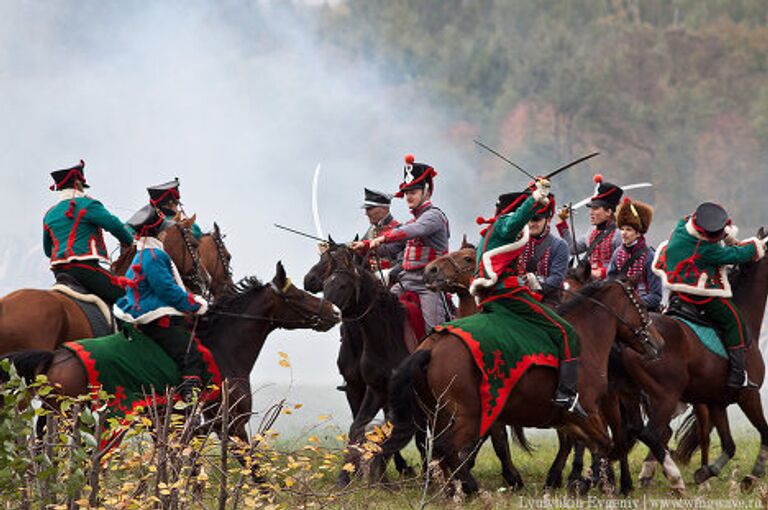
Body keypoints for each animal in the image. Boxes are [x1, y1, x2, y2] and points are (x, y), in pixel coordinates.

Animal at [1, 260, 340, 472]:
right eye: (297, 295)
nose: (335, 311)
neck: (222, 348)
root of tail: (56, 356)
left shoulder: (180, 428)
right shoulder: (231, 425)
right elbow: (255, 474)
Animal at [376, 278, 664, 494]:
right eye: (640, 305)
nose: (659, 344)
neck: (585, 338)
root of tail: (431, 346)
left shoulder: (572, 419)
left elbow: (592, 444)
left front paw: (579, 480)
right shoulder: (585, 411)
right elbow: (604, 444)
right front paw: (589, 481)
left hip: (440, 416)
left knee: (437, 449)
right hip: (467, 417)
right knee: (447, 449)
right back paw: (470, 488)